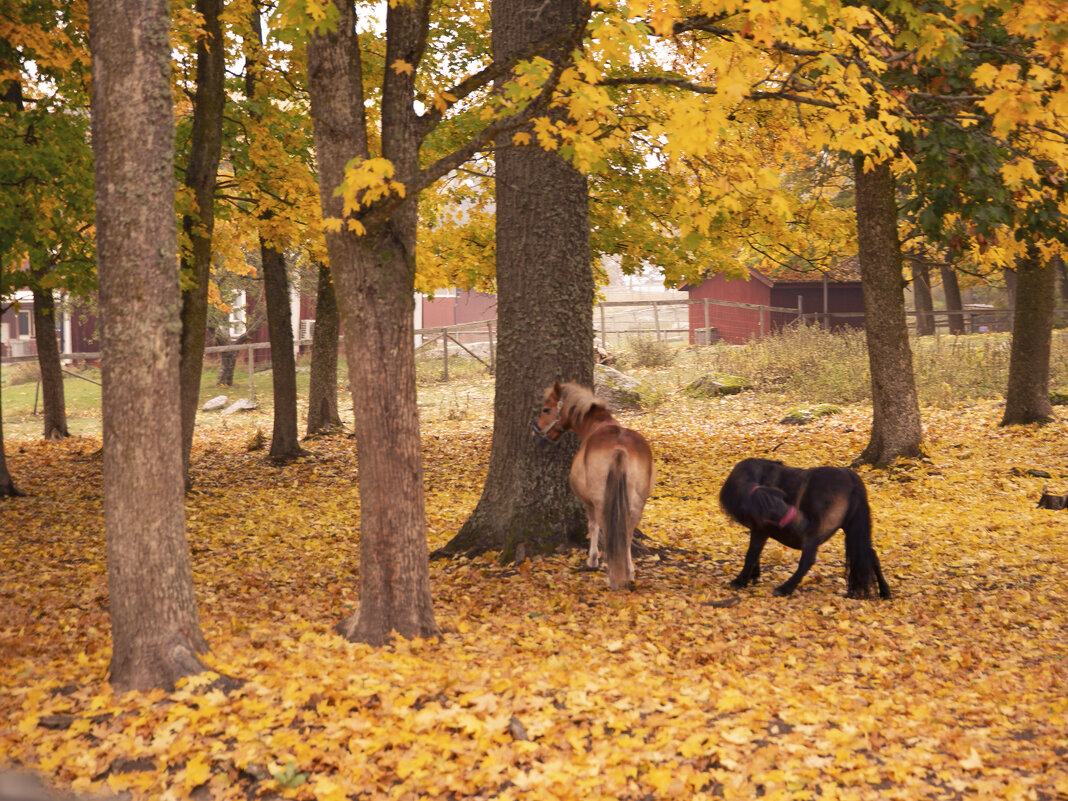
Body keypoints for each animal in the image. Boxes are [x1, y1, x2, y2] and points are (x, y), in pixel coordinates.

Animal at [531, 382, 653, 589]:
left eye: (546, 409)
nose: (535, 432)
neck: (597, 425)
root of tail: (620, 449)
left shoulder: (587, 502)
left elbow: (593, 527)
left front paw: (593, 559)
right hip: (637, 502)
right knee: (627, 531)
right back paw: (629, 573)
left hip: (602, 501)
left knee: (608, 528)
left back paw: (613, 576)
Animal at [717, 461, 892, 598]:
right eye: (774, 507)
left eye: (784, 501)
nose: (802, 525)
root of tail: (851, 478)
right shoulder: (758, 529)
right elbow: (756, 555)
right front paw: (754, 576)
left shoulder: (760, 530)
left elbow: (751, 555)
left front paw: (740, 581)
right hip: (853, 529)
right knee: (870, 555)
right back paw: (885, 591)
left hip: (816, 533)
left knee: (807, 561)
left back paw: (785, 588)